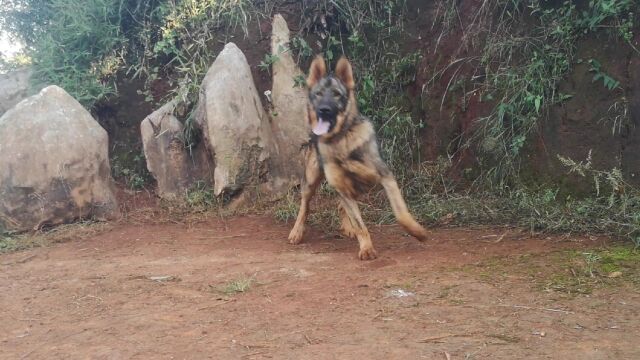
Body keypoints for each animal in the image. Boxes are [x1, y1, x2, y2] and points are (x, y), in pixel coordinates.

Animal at [288, 55, 428, 258]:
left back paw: (348, 227)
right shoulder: (343, 187)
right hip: (311, 181)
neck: (341, 139)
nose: (323, 110)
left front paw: (417, 231)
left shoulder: (385, 176)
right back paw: (297, 231)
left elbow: (400, 213)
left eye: (337, 94)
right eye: (318, 94)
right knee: (305, 207)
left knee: (340, 206)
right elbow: (360, 224)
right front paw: (367, 248)